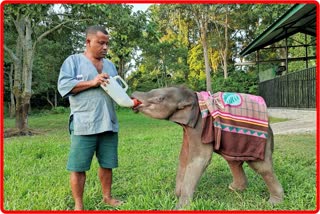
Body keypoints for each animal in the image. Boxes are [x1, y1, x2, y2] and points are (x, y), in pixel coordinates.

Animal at [131, 85, 284, 209]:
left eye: (160, 98)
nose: (133, 94)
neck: (191, 96)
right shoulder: (188, 130)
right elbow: (184, 157)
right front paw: (176, 195)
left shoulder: (199, 126)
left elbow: (200, 159)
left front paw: (180, 207)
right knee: (233, 162)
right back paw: (235, 189)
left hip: (259, 142)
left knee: (260, 166)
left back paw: (274, 203)